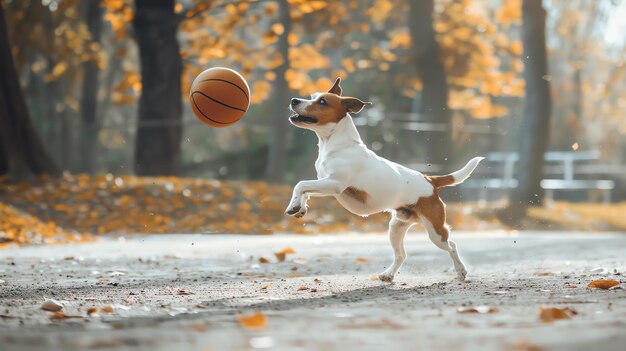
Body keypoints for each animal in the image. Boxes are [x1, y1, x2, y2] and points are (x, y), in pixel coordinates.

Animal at [284, 77, 482, 284]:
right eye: (312, 96)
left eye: (322, 101)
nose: (294, 100)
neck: (335, 144)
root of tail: (429, 180)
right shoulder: (326, 184)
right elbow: (305, 189)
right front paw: (299, 206)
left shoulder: (335, 184)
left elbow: (301, 184)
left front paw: (294, 205)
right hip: (396, 228)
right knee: (401, 255)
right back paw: (388, 274)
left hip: (435, 231)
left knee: (451, 245)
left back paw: (461, 271)